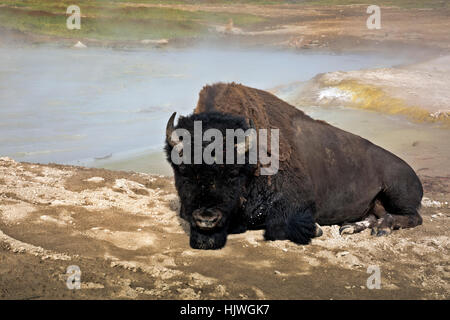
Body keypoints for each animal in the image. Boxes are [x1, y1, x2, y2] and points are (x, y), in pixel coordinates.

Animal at [164, 83, 422, 250]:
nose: (206, 218)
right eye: (183, 171)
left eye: (233, 173)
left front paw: (315, 229)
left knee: (412, 217)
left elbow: (278, 226)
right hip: (374, 203)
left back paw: (382, 228)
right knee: (375, 215)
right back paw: (350, 227)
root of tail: (412, 173)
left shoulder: (298, 201)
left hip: (397, 192)